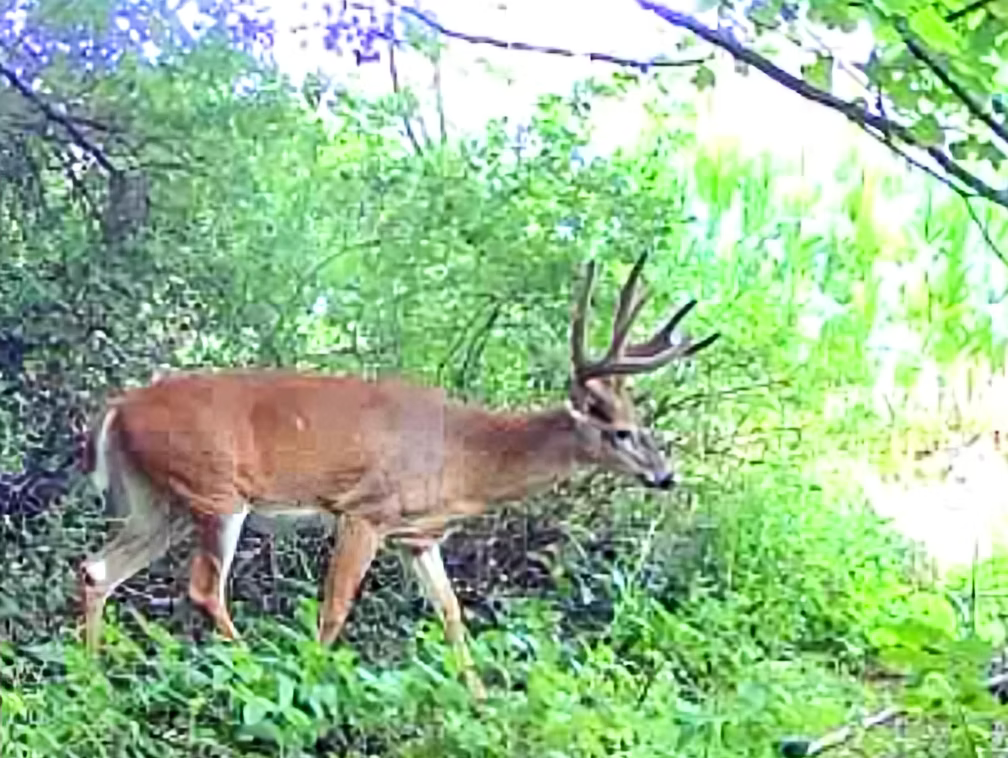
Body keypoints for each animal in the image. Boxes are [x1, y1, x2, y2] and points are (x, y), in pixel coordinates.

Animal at [78, 251, 719, 699]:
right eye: (620, 431)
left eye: (641, 421)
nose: (667, 476)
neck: (465, 457)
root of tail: (118, 408)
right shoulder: (365, 511)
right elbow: (336, 606)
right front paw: (313, 677)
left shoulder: (418, 537)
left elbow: (452, 613)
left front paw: (481, 700)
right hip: (216, 492)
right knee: (203, 587)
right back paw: (252, 670)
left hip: (158, 501)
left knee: (97, 570)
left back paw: (91, 674)